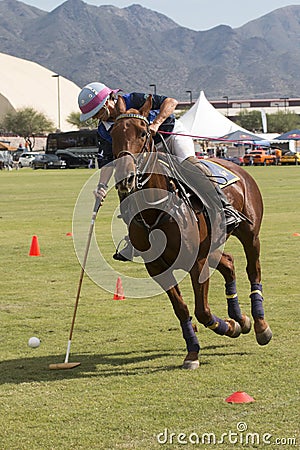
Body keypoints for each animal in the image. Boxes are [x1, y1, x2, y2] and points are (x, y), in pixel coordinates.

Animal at [110, 96, 272, 370]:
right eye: (112, 134)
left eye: (143, 132)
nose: (125, 178)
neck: (157, 209)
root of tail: (236, 166)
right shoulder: (157, 267)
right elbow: (183, 309)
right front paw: (196, 349)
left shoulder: (197, 260)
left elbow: (202, 311)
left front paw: (226, 327)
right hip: (215, 244)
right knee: (229, 263)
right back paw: (241, 318)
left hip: (250, 234)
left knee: (253, 271)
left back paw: (260, 325)